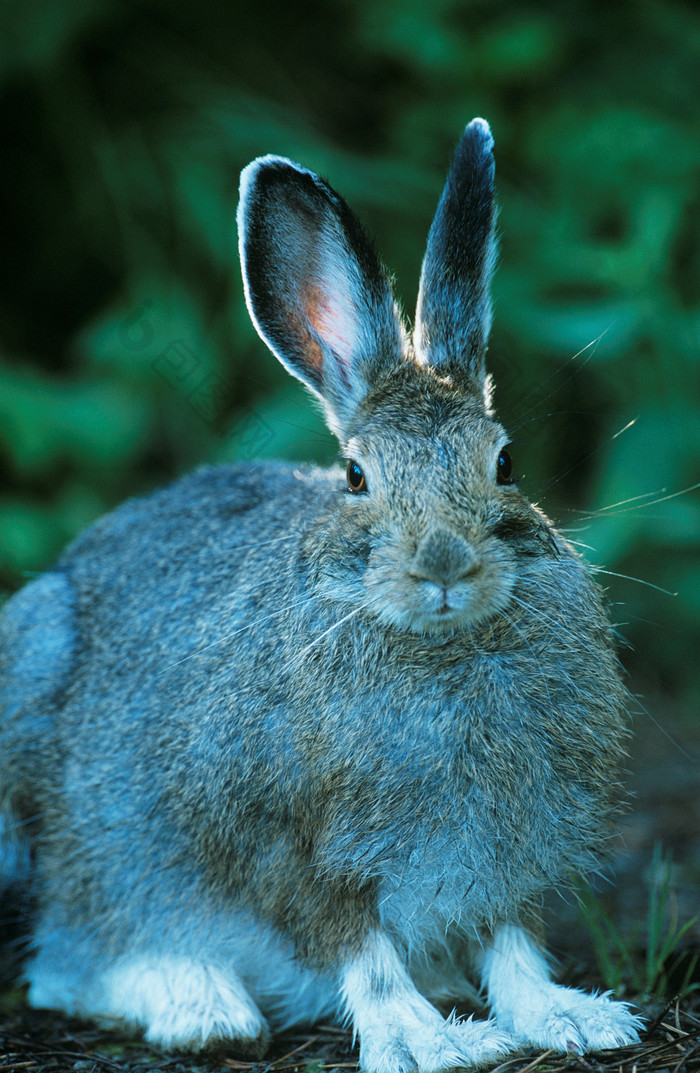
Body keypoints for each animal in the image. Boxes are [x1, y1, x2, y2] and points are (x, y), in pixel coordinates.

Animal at [0, 121, 644, 1068]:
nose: (444, 564)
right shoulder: (286, 845)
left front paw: (566, 1018)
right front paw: (421, 1039)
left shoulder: (505, 845)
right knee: (70, 952)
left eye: (505, 462)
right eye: (354, 475)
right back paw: (201, 1001)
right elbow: (358, 947)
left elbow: (509, 940)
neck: (433, 649)